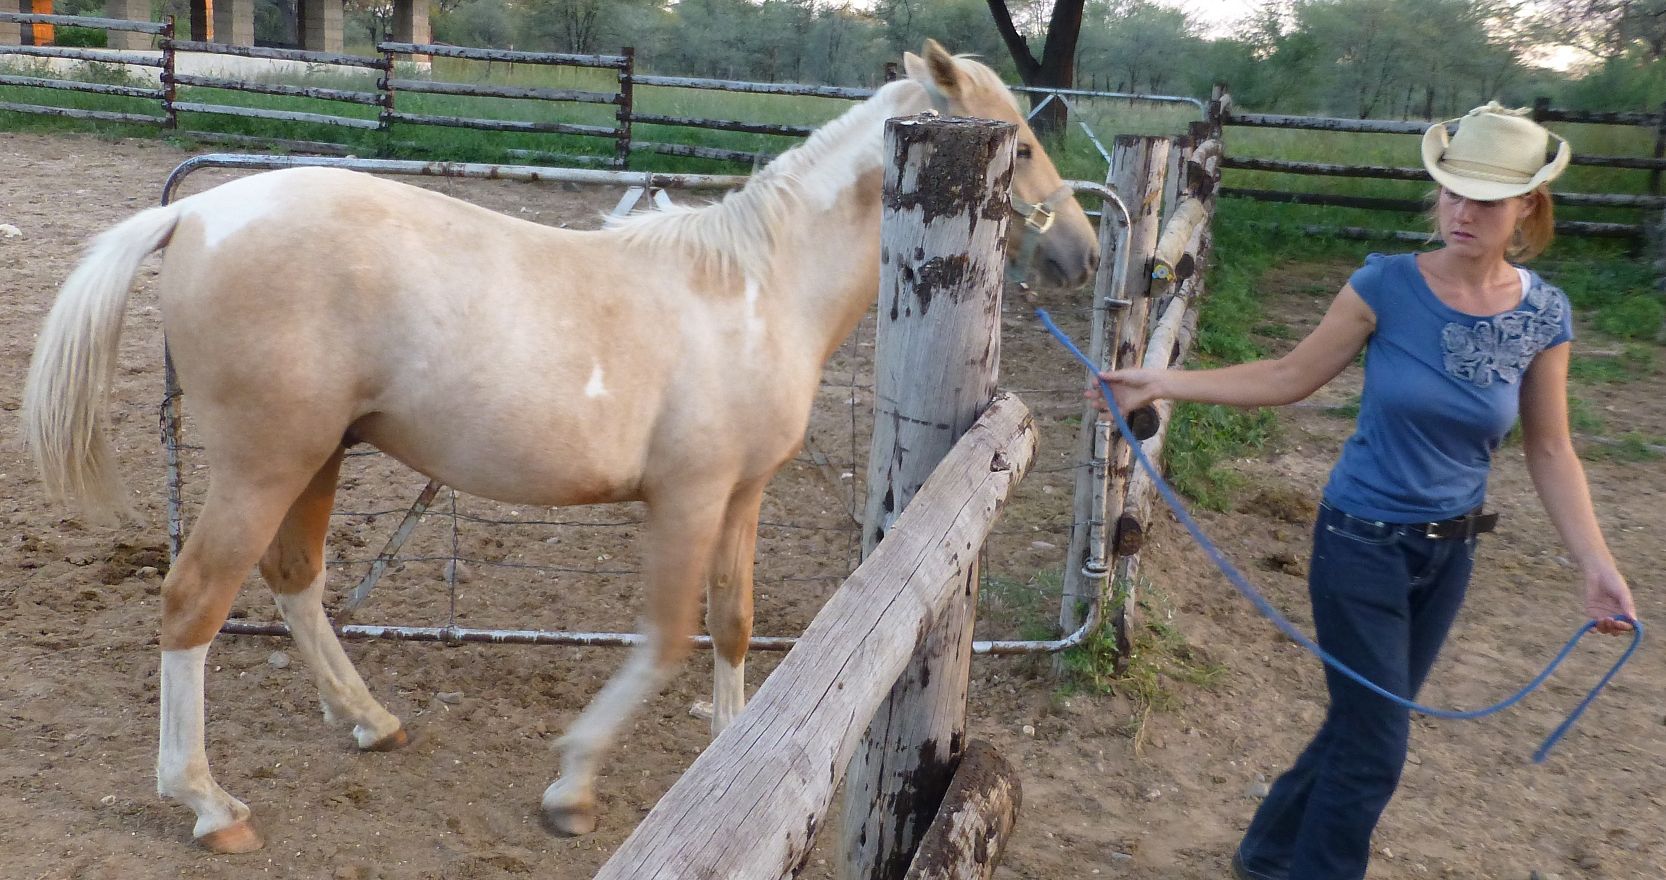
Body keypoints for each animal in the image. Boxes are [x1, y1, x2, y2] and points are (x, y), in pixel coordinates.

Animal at [26, 41, 1099, 853]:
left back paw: (370, 722)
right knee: (194, 603)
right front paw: (572, 788)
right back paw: (209, 805)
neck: (754, 291)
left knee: (296, 581)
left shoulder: (742, 495)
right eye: (1023, 145)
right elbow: (665, 639)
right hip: (264, 464)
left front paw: (731, 744)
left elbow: (734, 623)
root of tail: (193, 211)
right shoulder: (687, 497)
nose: (1082, 255)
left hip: (317, 457)